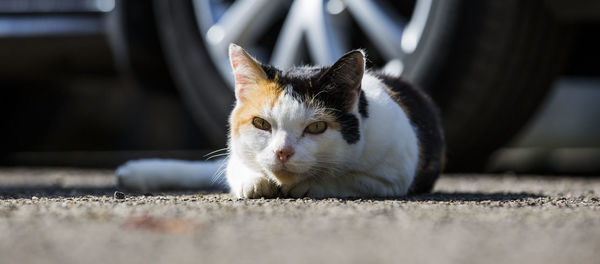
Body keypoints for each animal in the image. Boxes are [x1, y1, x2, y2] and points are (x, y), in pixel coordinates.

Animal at [117, 43, 446, 198]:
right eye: (261, 124)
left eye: (316, 127)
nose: (282, 152)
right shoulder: (236, 156)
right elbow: (238, 171)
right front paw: (256, 182)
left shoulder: (394, 174)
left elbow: (345, 179)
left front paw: (308, 185)